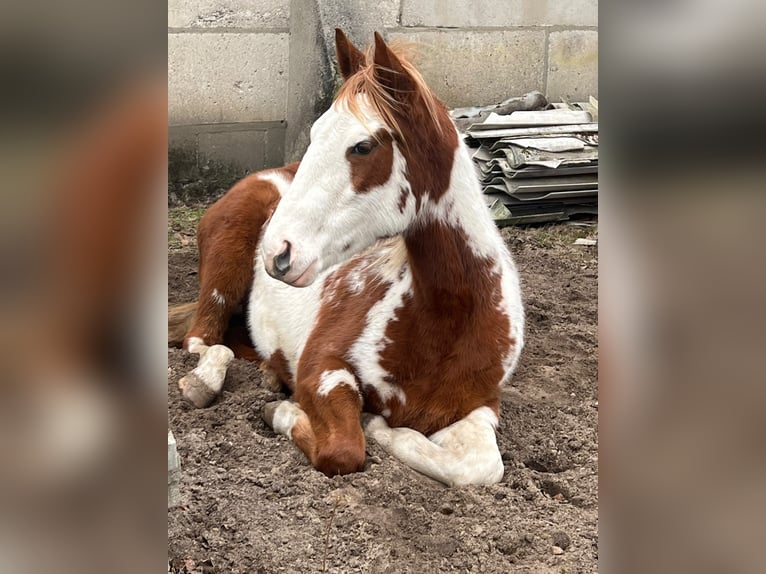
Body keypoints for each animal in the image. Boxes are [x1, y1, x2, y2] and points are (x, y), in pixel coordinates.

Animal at [170, 29, 524, 486]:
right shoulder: (323, 369)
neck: (446, 322)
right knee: (203, 341)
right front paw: (289, 412)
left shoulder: (479, 404)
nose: (277, 251)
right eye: (317, 131)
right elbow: (344, 449)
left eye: (363, 146)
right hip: (222, 276)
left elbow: (480, 466)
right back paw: (207, 383)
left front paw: (383, 429)